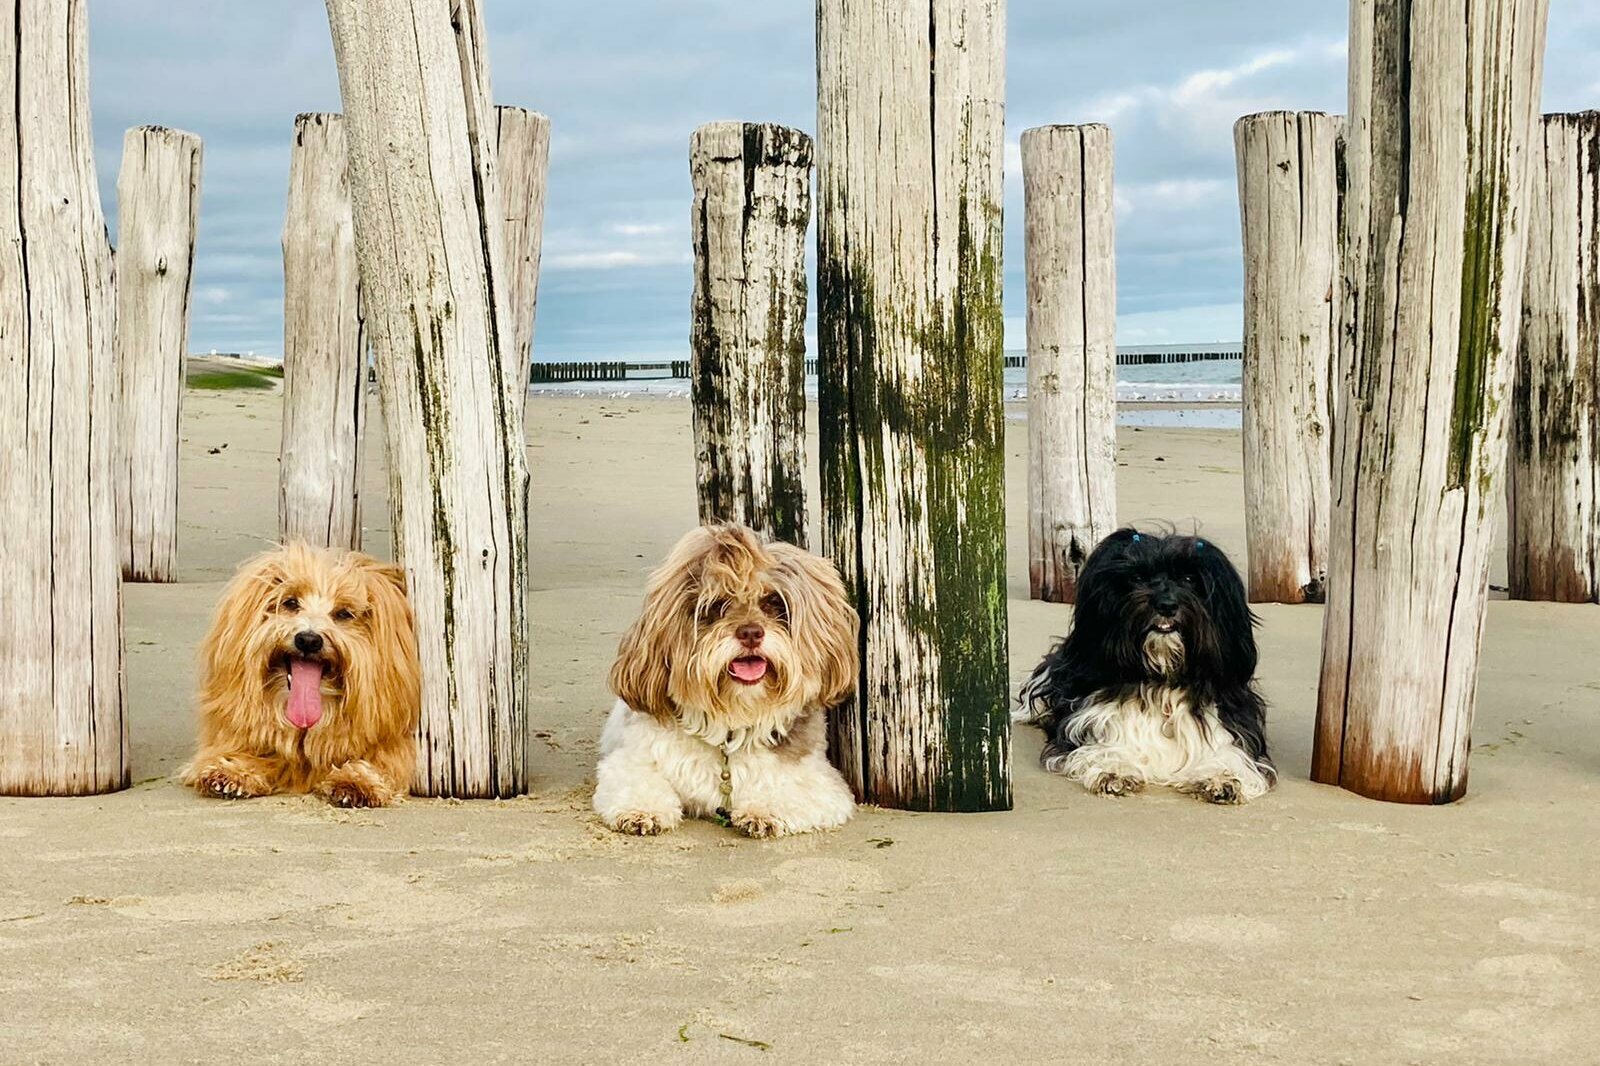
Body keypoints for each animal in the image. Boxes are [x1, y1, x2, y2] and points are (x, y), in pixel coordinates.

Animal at [182, 541, 422, 806]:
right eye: (290, 602)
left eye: (344, 614)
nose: (308, 640)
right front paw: (233, 770)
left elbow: (384, 763)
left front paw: (356, 780)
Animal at [592, 524, 864, 838]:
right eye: (717, 604)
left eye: (773, 602)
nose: (750, 633)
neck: (730, 725)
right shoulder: (630, 761)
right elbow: (637, 781)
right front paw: (642, 811)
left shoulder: (820, 781)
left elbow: (790, 791)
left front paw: (763, 811)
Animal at [1011, 528, 1273, 800]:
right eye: (1137, 578)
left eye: (1189, 578)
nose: (1166, 605)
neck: (1161, 678)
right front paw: (1115, 768)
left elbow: (1229, 752)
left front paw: (1221, 777)